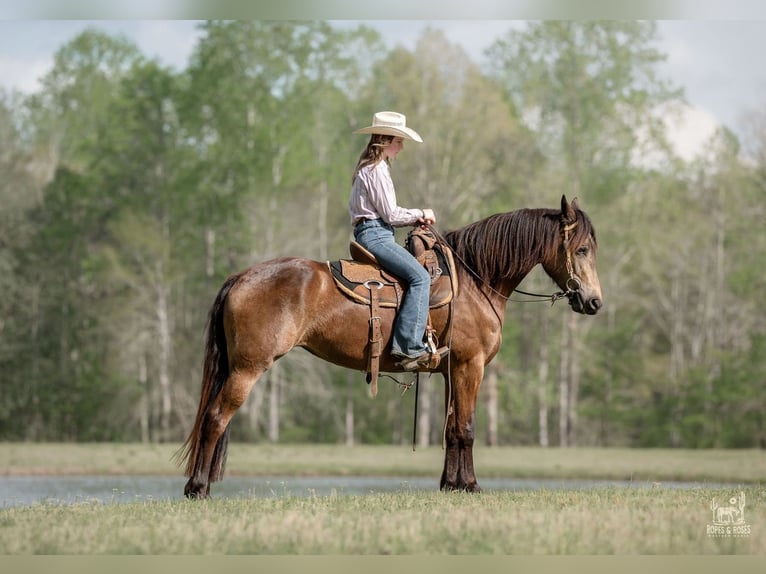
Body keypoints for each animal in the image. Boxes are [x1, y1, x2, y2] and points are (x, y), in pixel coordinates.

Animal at [177, 195, 602, 497]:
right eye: (581, 250)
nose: (594, 302)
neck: (475, 281)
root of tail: (240, 277)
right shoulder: (471, 365)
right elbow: (466, 427)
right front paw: (471, 486)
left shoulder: (452, 370)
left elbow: (451, 428)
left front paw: (450, 485)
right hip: (247, 368)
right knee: (215, 418)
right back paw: (198, 489)